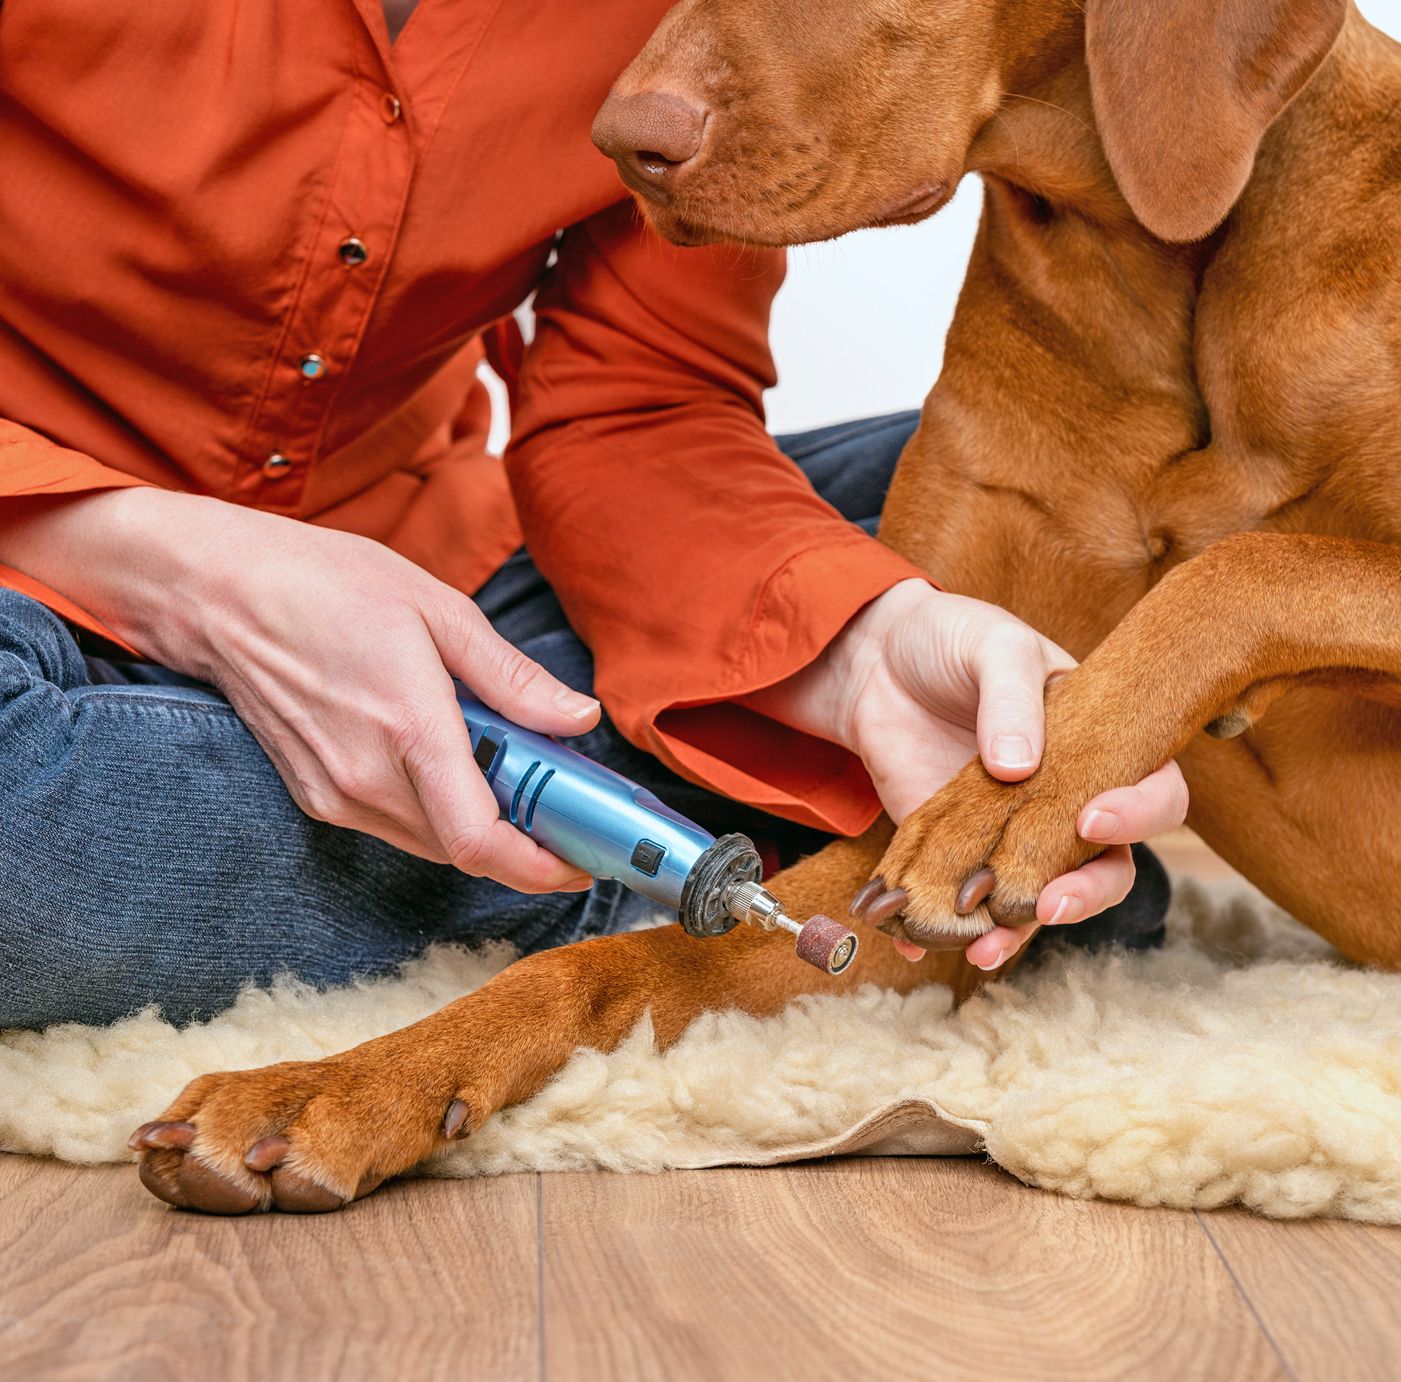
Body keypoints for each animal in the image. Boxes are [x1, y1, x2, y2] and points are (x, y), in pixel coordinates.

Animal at [131, 0, 1401, 1205]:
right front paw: (332, 1081)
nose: (621, 141)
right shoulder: (887, 885)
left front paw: (1025, 791)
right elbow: (617, 958)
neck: (1159, 276)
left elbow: (1247, 563)